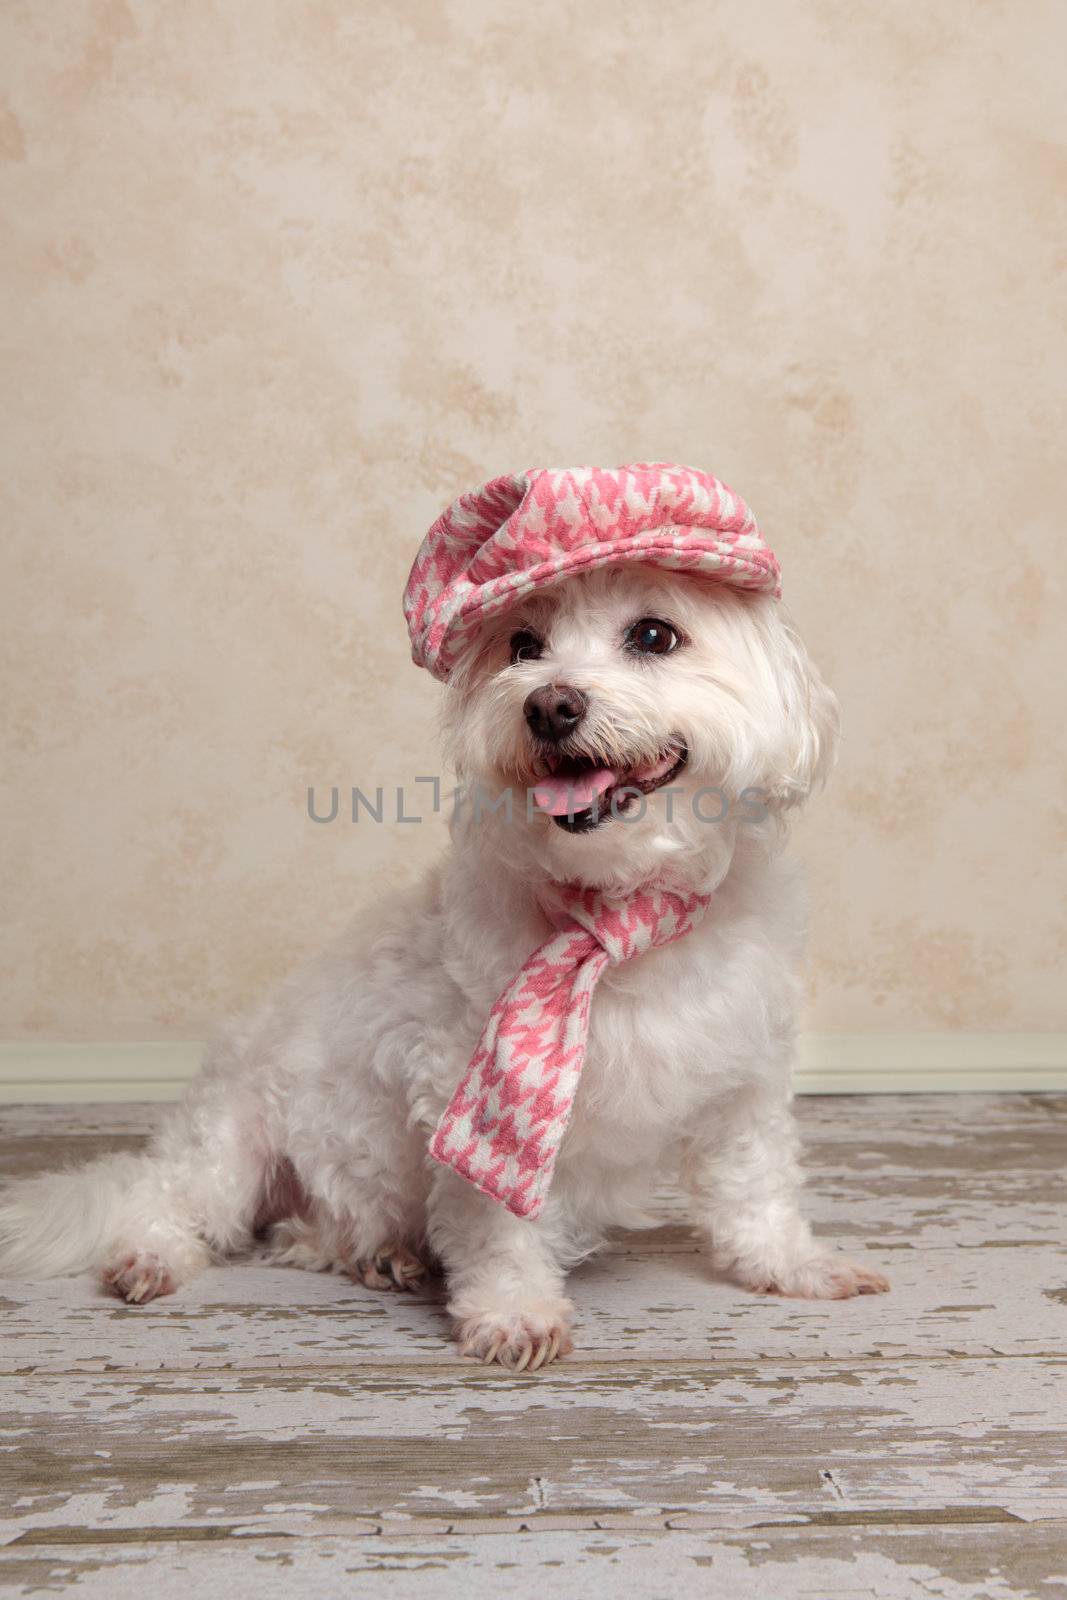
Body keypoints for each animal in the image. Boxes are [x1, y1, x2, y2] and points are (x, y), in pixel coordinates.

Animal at [0, 473, 889, 1376]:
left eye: (653, 634)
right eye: (522, 645)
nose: (549, 705)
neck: (616, 918)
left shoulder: (745, 1077)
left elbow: (755, 1187)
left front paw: (790, 1264)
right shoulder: (475, 1084)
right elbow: (500, 1222)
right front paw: (515, 1311)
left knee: (304, 1236)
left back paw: (378, 1253)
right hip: (229, 1141)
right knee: (174, 1203)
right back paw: (150, 1254)